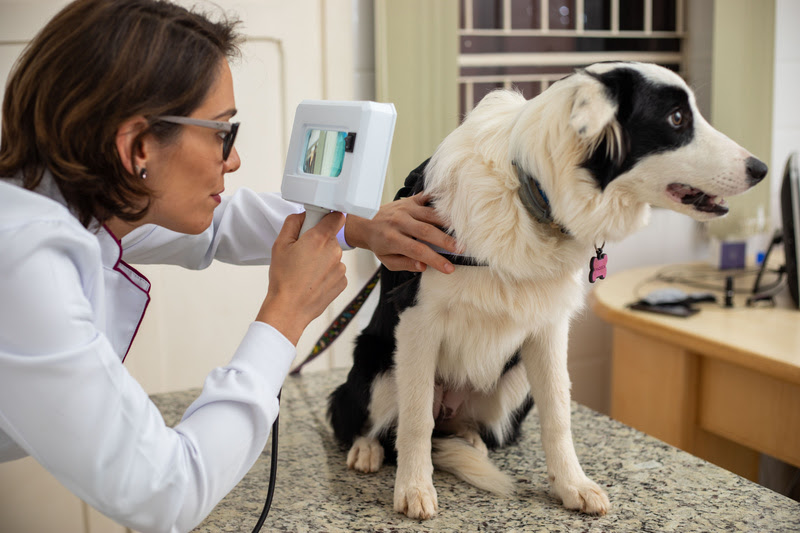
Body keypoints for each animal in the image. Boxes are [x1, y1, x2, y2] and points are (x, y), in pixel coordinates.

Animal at [326, 61, 768, 516]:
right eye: (677, 118)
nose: (760, 169)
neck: (528, 195)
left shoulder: (549, 327)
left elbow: (558, 413)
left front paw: (572, 485)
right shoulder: (417, 320)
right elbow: (415, 418)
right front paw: (413, 488)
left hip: (515, 381)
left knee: (456, 429)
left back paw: (468, 439)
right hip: (377, 366)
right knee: (367, 420)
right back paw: (368, 449)